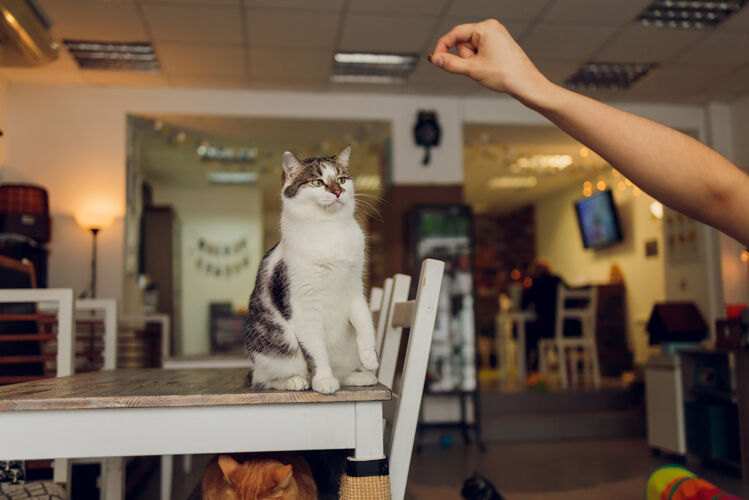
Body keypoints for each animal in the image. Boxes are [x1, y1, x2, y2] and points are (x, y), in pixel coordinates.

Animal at [243, 146, 376, 394]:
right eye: (317, 182)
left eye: (341, 179)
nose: (338, 192)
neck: (329, 229)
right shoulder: (304, 304)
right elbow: (315, 350)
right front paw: (323, 380)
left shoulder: (355, 288)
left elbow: (365, 321)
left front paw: (370, 356)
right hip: (276, 349)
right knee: (262, 378)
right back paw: (295, 381)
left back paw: (357, 376)